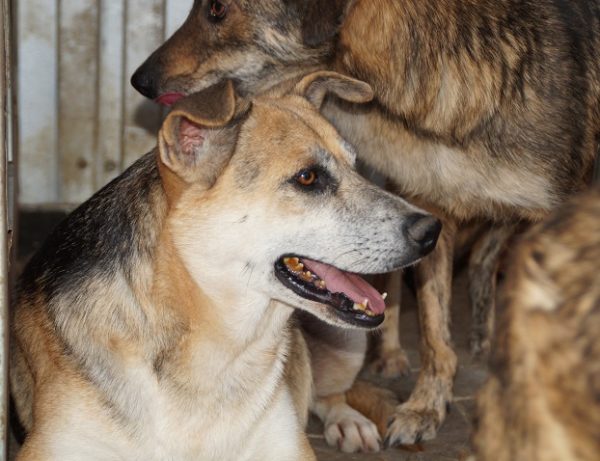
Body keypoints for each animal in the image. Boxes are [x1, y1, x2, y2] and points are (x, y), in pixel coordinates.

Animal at [10, 72, 440, 460]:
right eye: (307, 177)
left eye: (355, 166)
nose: (432, 230)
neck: (220, 343)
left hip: (349, 344)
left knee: (327, 393)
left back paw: (348, 421)